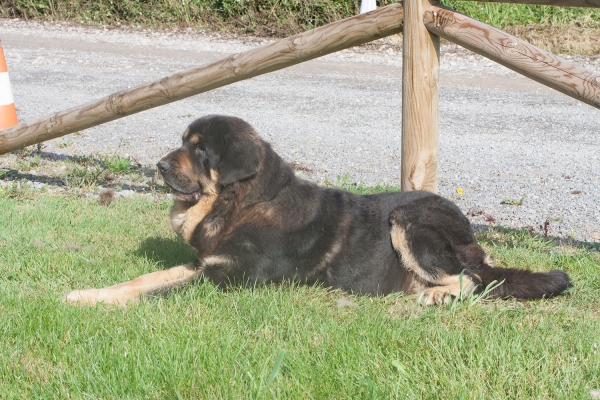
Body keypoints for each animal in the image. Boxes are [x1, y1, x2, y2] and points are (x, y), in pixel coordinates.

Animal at [64, 115, 572, 306]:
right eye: (183, 143)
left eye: (199, 149)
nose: (159, 165)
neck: (246, 203)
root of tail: (470, 234)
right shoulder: (207, 263)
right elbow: (146, 279)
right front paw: (87, 293)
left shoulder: (227, 277)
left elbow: (156, 291)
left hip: (410, 221)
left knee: (473, 281)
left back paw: (429, 298)